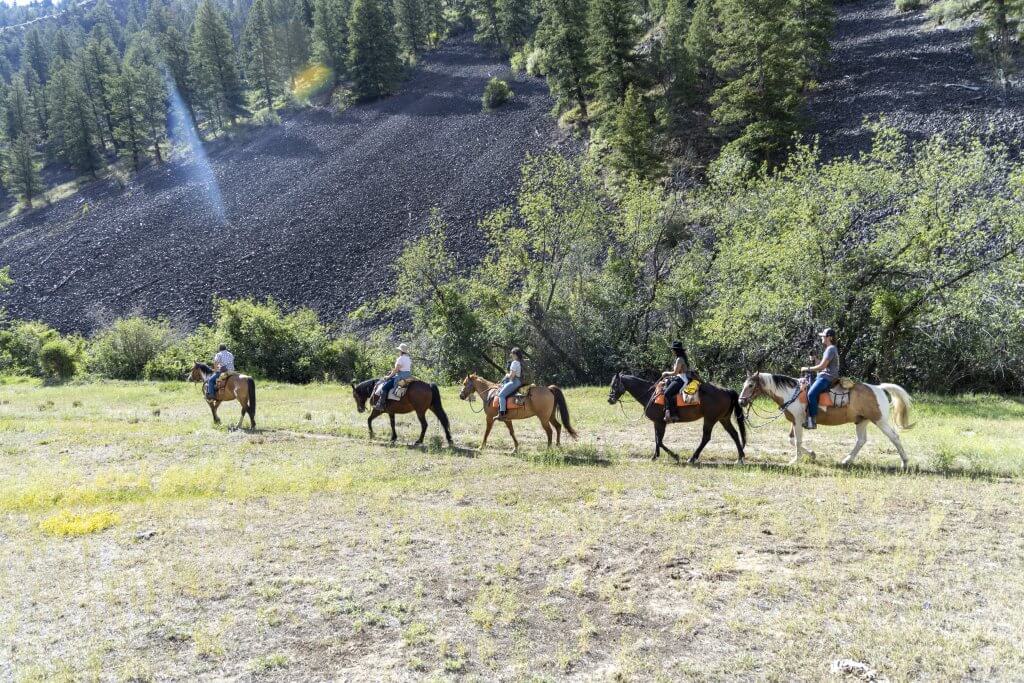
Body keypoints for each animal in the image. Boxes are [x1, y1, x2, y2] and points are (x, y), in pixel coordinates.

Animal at [606, 374, 745, 464]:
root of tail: (726, 390)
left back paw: (692, 458)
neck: (651, 395)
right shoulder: (657, 423)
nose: (610, 399)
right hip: (723, 418)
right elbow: (657, 439)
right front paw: (655, 456)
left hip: (710, 419)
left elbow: (660, 441)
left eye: (615, 384)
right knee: (734, 434)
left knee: (706, 437)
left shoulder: (661, 422)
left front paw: (675, 456)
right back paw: (740, 457)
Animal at [737, 374, 913, 471]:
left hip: (879, 420)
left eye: (751, 385)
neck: (791, 393)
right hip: (861, 421)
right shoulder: (794, 421)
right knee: (861, 440)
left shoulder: (798, 420)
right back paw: (846, 460)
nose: (741, 401)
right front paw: (812, 454)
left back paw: (904, 463)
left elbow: (798, 441)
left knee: (894, 437)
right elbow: (792, 440)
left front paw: (795, 460)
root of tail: (878, 388)